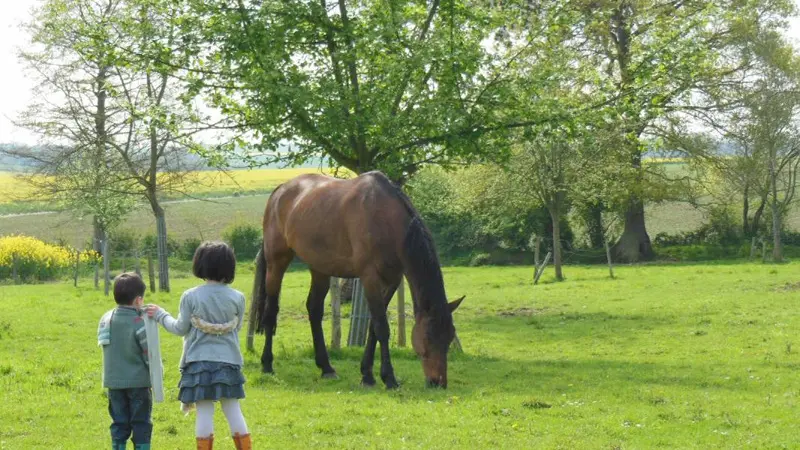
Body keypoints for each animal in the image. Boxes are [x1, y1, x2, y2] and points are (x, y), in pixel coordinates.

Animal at [250, 171, 462, 388]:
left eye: (449, 336)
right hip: (277, 263)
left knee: (314, 310)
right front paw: (388, 378)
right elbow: (381, 327)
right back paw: (267, 365)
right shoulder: (369, 277)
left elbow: (374, 327)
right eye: (428, 335)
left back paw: (326, 368)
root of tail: (279, 191)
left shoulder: (392, 281)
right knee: (271, 311)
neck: (384, 218)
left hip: (319, 269)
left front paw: (367, 374)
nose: (438, 382)